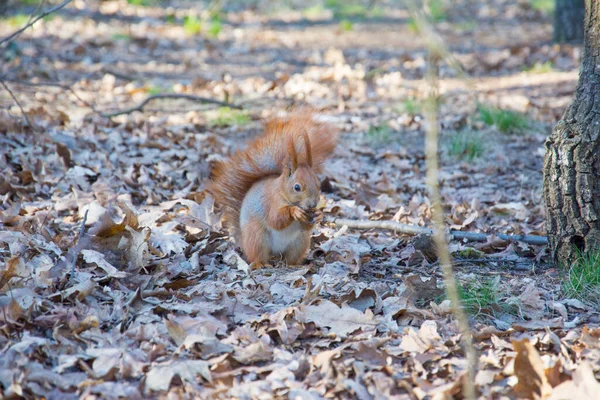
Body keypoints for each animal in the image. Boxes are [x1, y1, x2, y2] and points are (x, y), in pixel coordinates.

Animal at [207, 109, 338, 268]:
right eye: (297, 187)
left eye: (319, 185)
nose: (312, 204)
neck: (282, 192)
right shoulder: (270, 201)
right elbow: (275, 219)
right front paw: (294, 211)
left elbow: (306, 225)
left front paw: (319, 214)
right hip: (257, 238)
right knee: (257, 256)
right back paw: (261, 264)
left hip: (300, 242)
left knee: (291, 258)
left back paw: (294, 265)